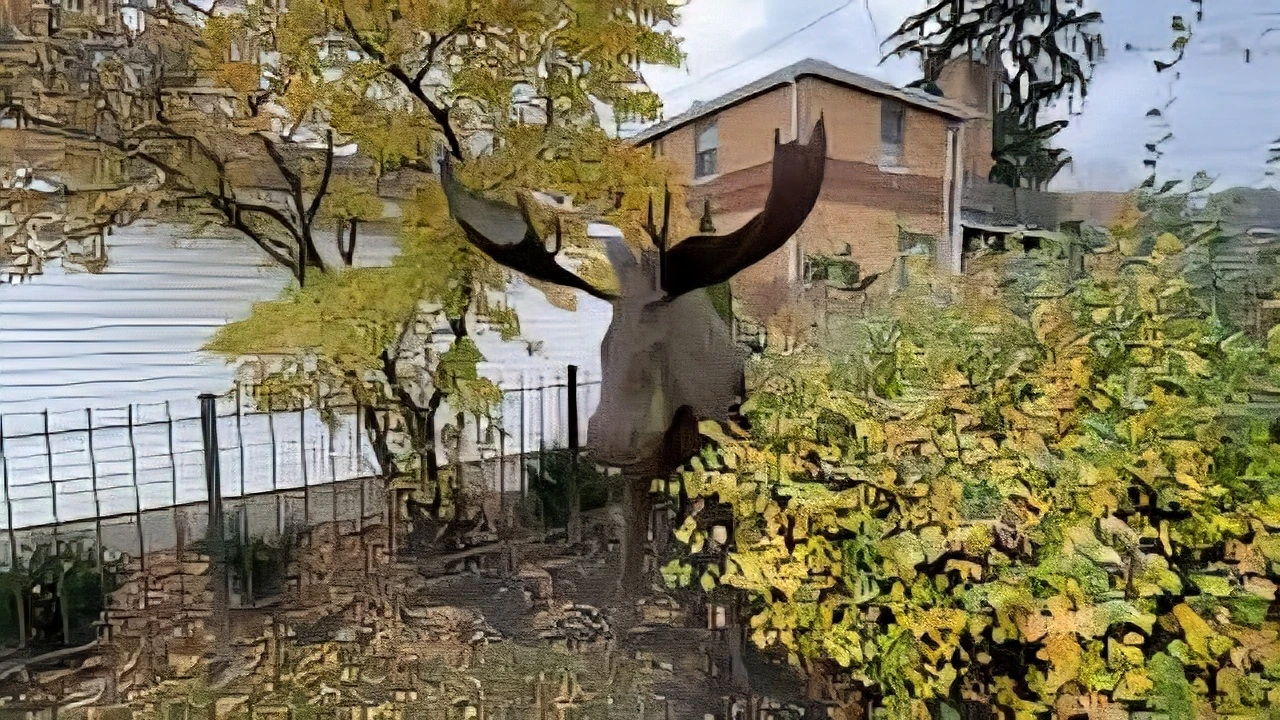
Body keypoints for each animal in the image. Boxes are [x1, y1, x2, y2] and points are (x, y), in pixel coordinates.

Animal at [439, 117, 827, 586]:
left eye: (659, 343)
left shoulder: (720, 447)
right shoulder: (640, 473)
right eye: (605, 343)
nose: (607, 439)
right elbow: (629, 572)